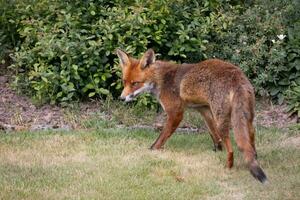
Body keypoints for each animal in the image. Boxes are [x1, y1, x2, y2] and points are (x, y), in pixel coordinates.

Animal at [116, 48, 268, 183]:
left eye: (135, 83)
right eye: (124, 81)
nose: (121, 98)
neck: (161, 79)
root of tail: (237, 75)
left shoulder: (176, 113)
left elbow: (162, 137)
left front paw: (152, 151)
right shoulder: (204, 110)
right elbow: (213, 134)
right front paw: (217, 149)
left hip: (223, 120)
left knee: (231, 148)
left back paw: (228, 167)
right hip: (246, 118)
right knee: (250, 138)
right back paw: (254, 159)